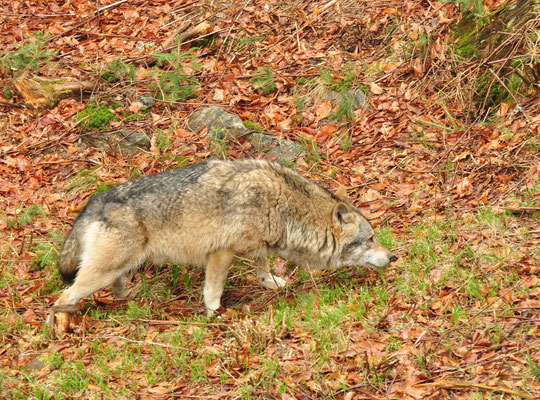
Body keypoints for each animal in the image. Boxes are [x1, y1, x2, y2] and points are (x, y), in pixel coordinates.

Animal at [48, 159, 396, 332]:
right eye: (370, 239)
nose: (392, 257)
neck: (283, 207)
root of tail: (95, 200)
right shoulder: (222, 253)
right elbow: (213, 289)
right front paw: (214, 315)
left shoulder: (256, 244)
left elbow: (263, 266)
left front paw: (272, 283)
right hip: (99, 274)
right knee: (61, 297)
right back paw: (60, 326)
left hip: (118, 267)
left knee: (114, 286)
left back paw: (127, 298)